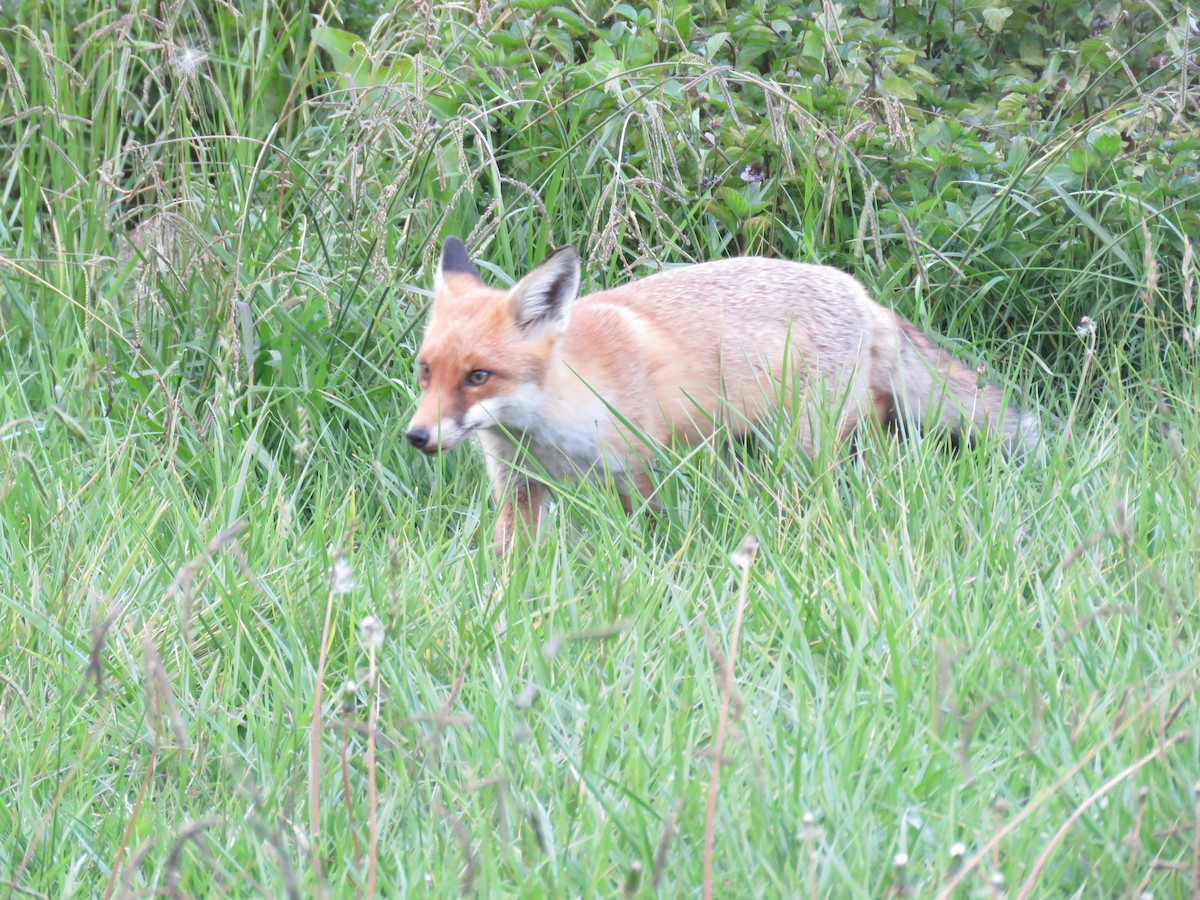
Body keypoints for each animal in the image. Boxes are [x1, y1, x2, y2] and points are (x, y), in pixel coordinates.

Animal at [406, 237, 1039, 554]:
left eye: (478, 376)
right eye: (425, 372)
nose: (416, 436)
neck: (545, 427)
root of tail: (862, 292)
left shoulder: (640, 471)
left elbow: (648, 542)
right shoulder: (518, 489)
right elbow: (508, 562)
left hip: (804, 446)